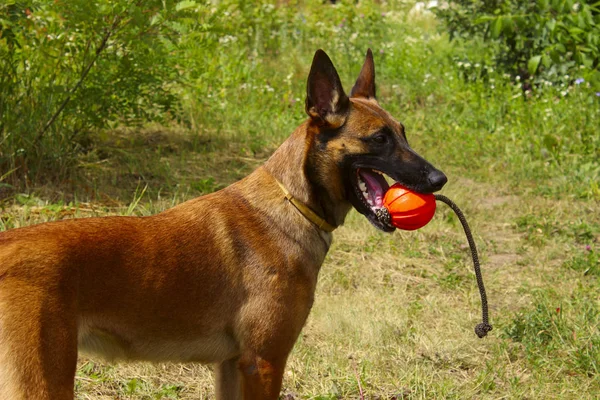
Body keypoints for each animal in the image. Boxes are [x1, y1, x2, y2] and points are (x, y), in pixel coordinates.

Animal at [0, 50, 446, 400]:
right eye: (380, 139)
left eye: (404, 133)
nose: (439, 179)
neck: (291, 206)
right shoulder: (263, 362)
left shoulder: (232, 364)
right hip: (42, 382)